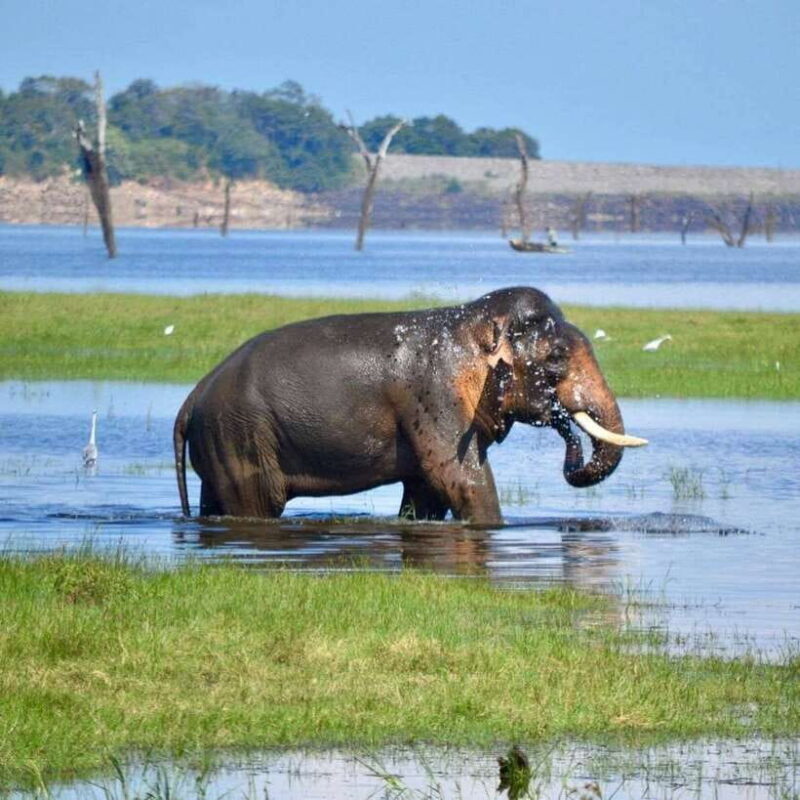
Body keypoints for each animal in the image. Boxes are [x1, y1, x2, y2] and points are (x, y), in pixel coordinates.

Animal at [174, 286, 646, 524]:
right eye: (556, 359)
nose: (563, 419)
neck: (468, 321)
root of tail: (193, 397)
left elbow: (427, 488)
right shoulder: (436, 395)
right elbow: (461, 479)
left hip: (220, 441)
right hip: (240, 436)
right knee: (258, 505)